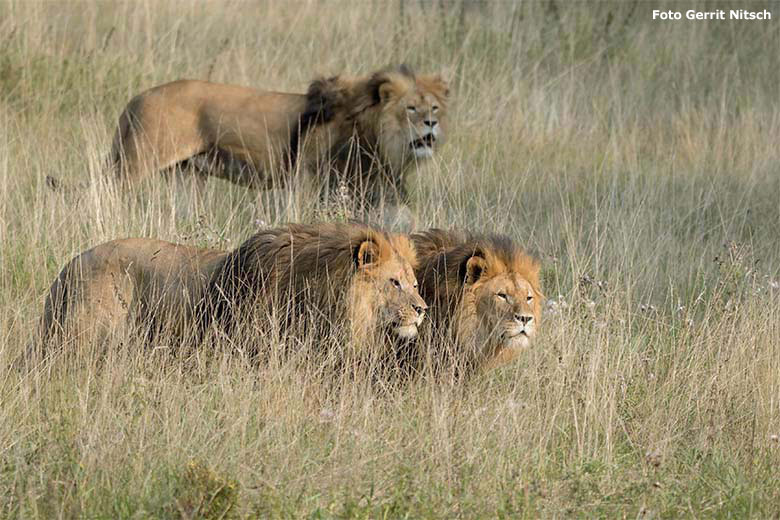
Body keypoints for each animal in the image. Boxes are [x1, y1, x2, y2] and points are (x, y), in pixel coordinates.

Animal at [89, 63, 448, 205]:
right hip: (134, 164)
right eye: (411, 109)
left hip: (187, 176)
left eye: (434, 107)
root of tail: (138, 98)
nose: (431, 124)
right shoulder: (306, 181)